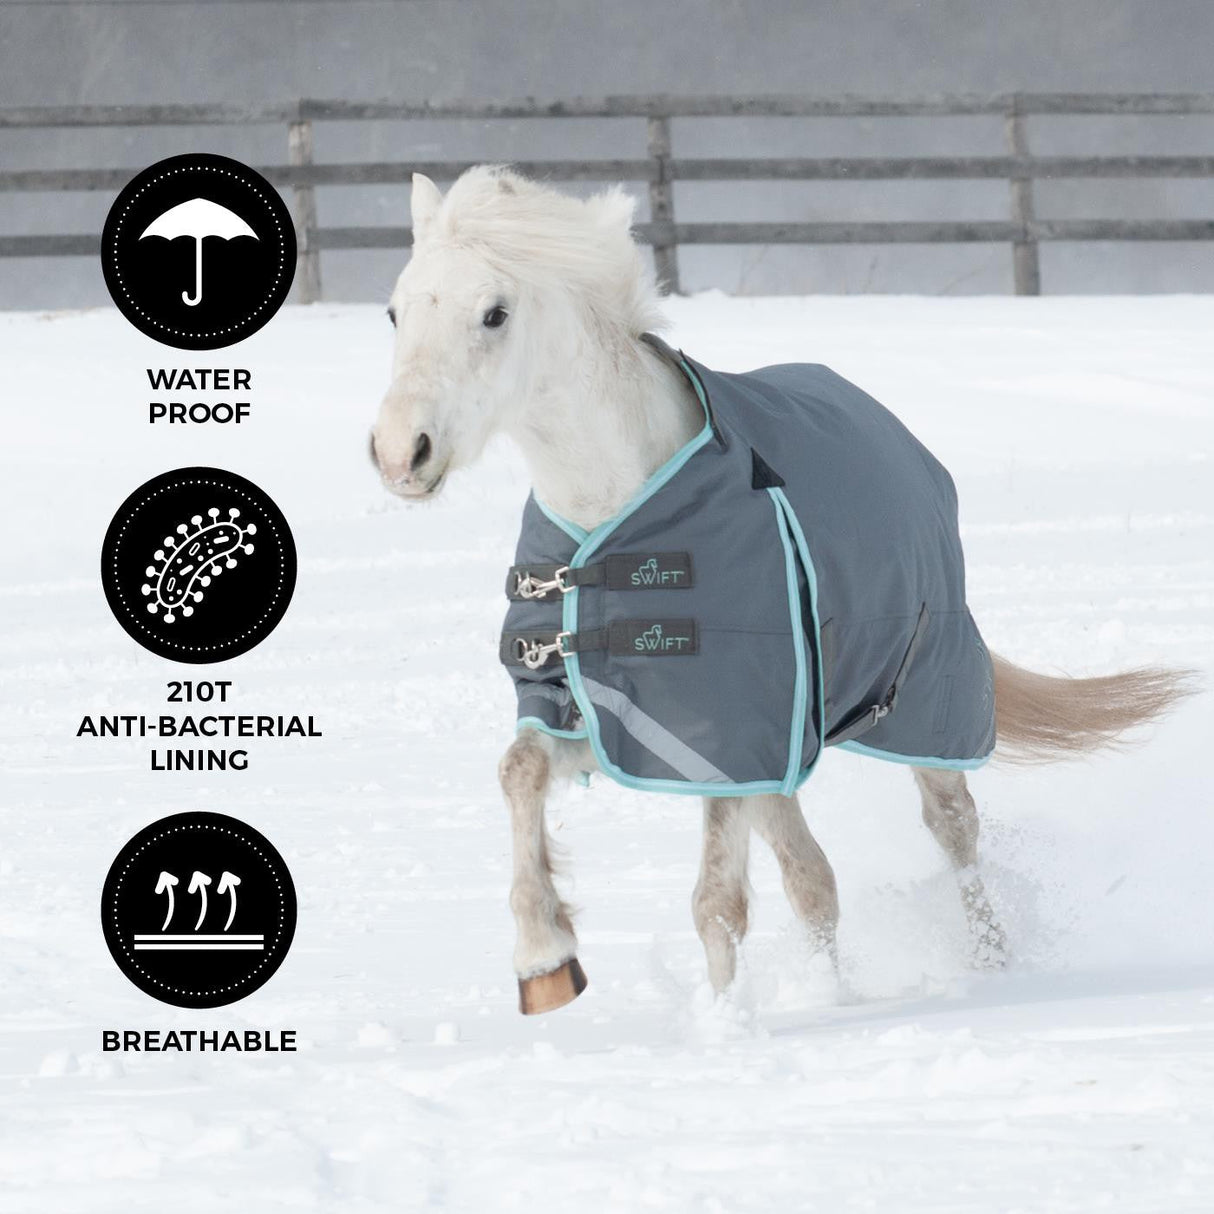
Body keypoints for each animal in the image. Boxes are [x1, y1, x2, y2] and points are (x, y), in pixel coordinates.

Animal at [370, 166, 1192, 1016]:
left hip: (925, 704)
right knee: (813, 871)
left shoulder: (730, 728)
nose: (400, 453)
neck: (617, 511)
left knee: (952, 828)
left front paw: (750, 1021)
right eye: (396, 309)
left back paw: (992, 962)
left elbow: (725, 902)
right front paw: (546, 957)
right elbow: (522, 773)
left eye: (494, 313)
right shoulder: (621, 717)